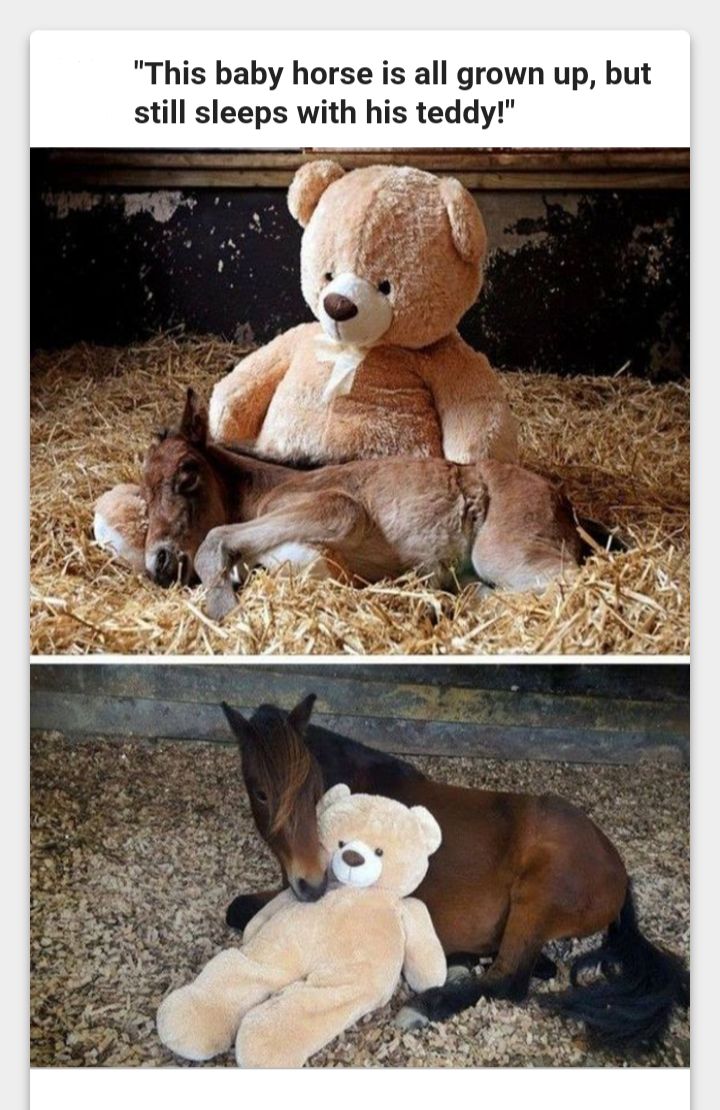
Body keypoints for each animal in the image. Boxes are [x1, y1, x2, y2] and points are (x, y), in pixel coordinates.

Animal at [99, 390, 585, 621]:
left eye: (187, 474)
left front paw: (223, 607)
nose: (159, 563)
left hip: (503, 553)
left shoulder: (336, 508)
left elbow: (216, 540)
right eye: (144, 495)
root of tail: (563, 500)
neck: (267, 490)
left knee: (568, 582)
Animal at [221, 697, 687, 1052]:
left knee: (509, 979)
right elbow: (236, 908)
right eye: (261, 793)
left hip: (537, 895)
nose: (314, 883)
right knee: (536, 966)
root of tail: (617, 868)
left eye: (312, 789)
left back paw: (428, 1004)